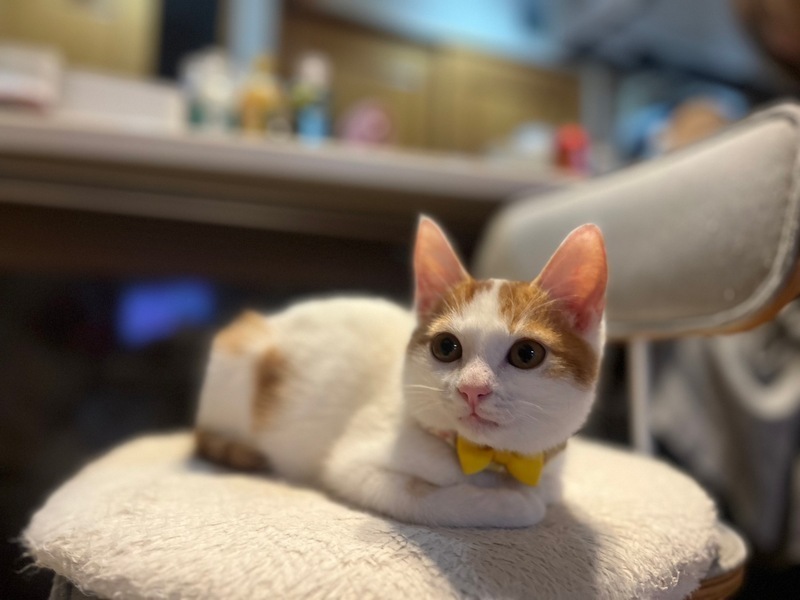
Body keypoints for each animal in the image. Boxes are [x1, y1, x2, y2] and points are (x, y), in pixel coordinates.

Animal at [194, 216, 607, 528]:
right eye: (446, 347)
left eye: (526, 354)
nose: (473, 389)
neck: (488, 459)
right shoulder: (354, 466)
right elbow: (421, 496)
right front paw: (509, 504)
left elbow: (548, 491)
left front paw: (525, 494)